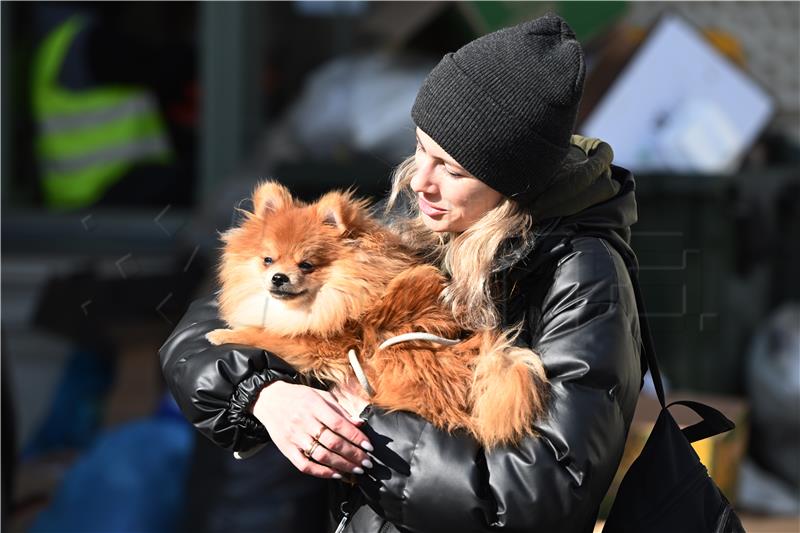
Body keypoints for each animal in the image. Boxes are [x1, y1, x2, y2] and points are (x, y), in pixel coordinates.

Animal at [205, 181, 552, 446]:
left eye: (306, 265)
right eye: (267, 260)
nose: (278, 278)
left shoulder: (322, 346)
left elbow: (266, 335)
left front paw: (224, 334)